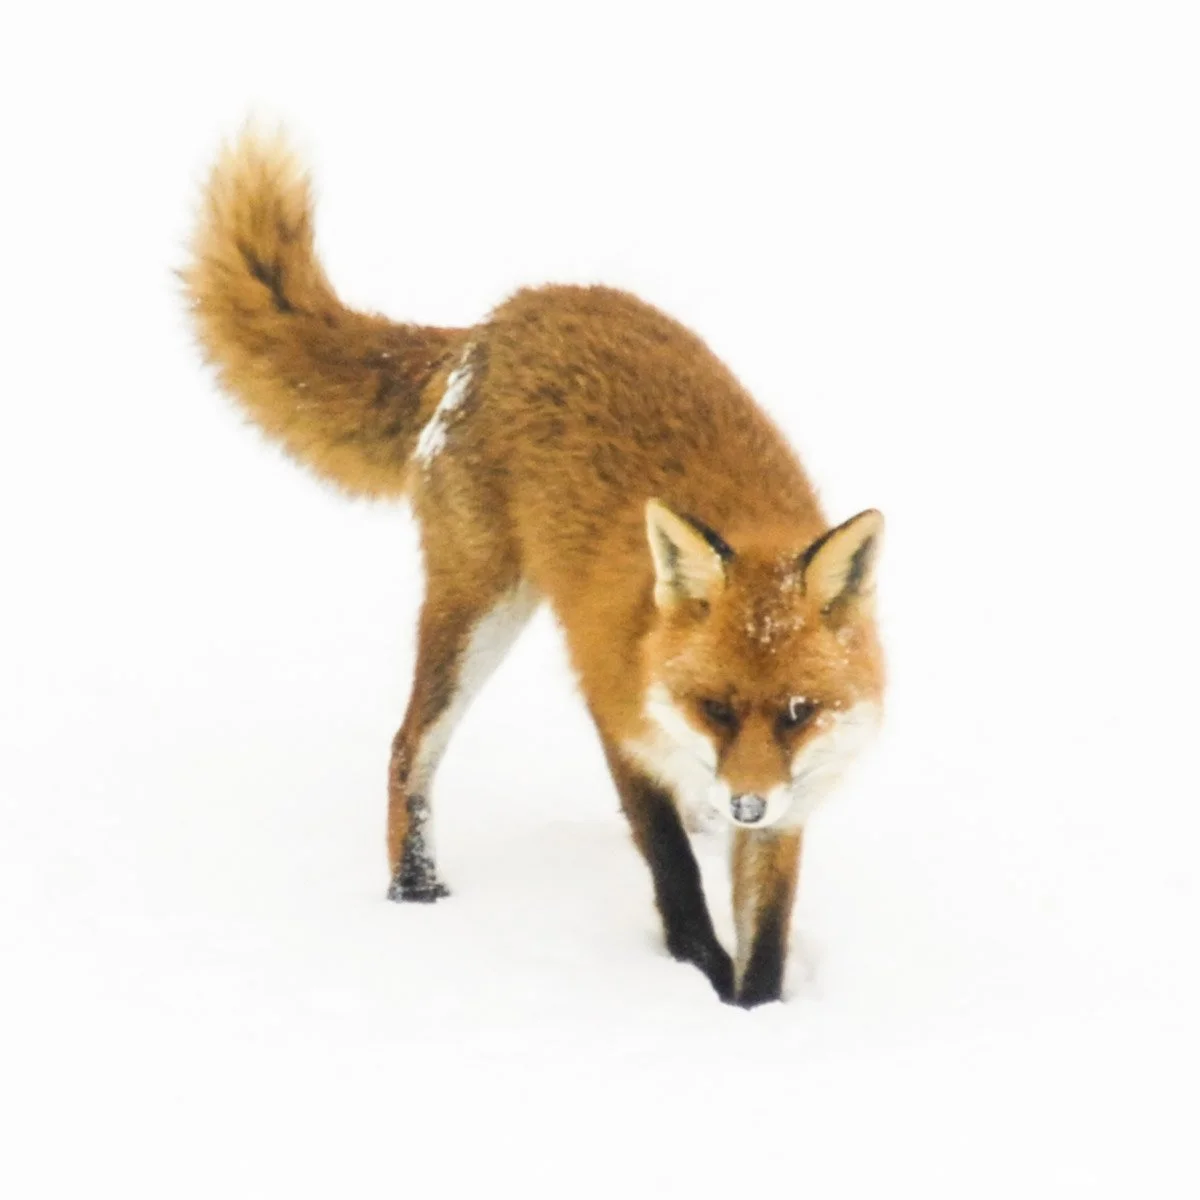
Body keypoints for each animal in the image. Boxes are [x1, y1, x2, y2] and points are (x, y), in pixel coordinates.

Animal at [183, 130, 885, 1007]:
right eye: (716, 707)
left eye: (797, 711)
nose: (747, 803)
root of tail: (496, 321)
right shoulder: (614, 716)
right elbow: (676, 880)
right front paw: (697, 977)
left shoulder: (792, 802)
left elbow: (769, 937)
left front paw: (753, 1011)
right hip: (477, 614)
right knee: (408, 746)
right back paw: (414, 889)